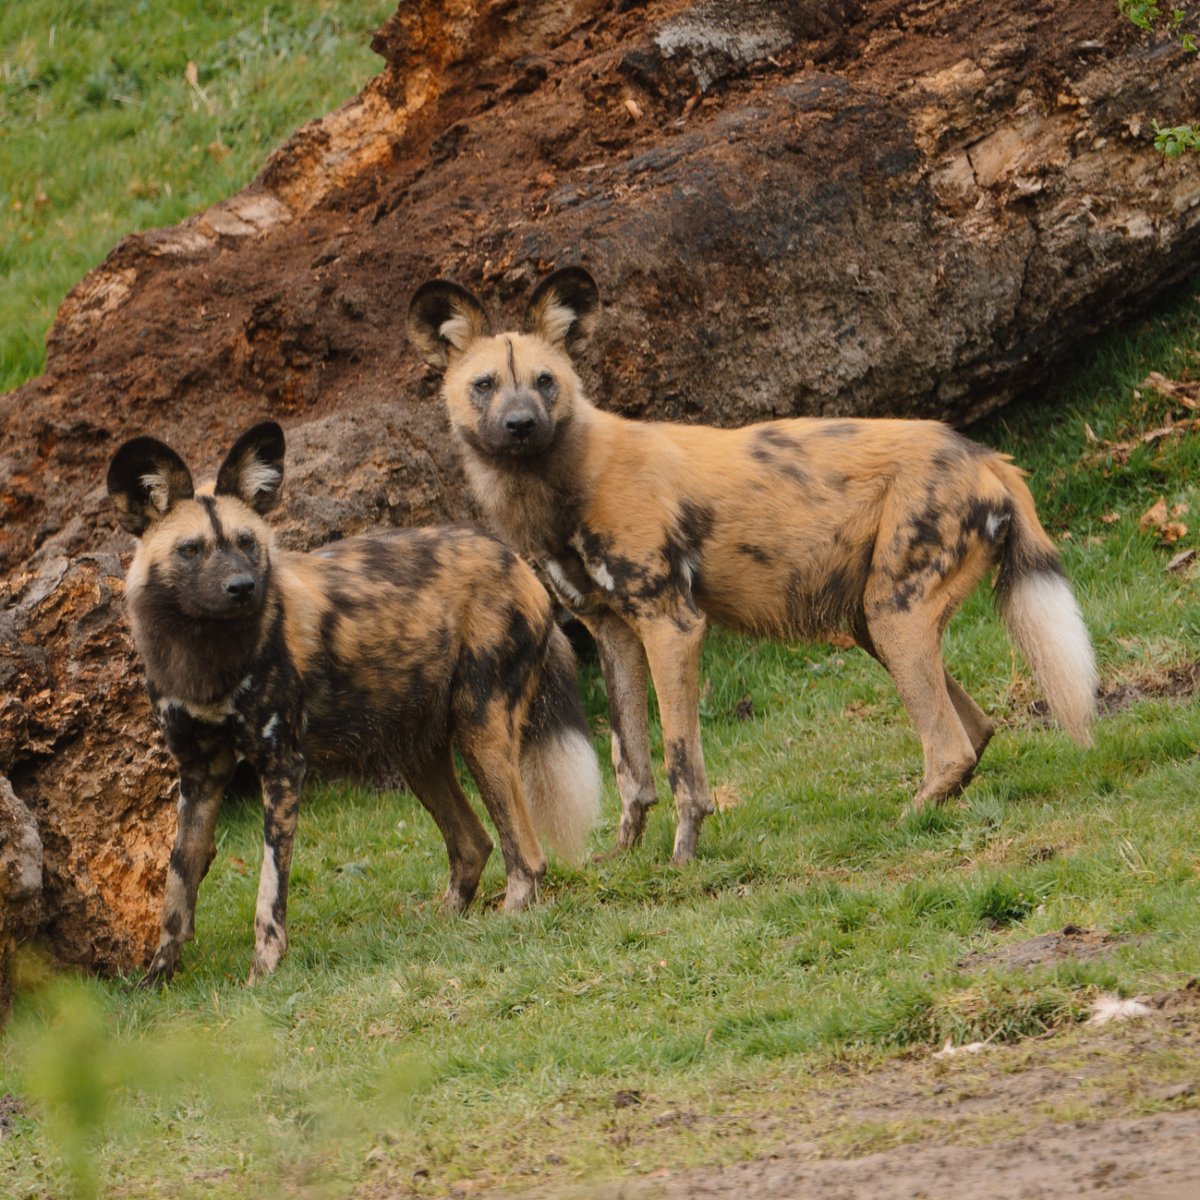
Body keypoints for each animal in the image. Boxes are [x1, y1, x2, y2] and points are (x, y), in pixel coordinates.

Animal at [106, 422, 600, 984]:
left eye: (247, 543)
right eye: (191, 550)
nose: (242, 587)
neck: (205, 657)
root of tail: (519, 563)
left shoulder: (282, 766)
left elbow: (269, 890)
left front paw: (263, 972)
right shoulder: (199, 774)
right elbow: (177, 888)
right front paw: (157, 980)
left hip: (481, 730)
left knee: (525, 853)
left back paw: (508, 917)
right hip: (416, 752)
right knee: (473, 843)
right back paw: (440, 924)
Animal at [410, 266, 1099, 864]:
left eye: (545, 380)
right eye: (484, 386)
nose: (520, 424)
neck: (562, 484)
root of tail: (983, 454)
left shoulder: (672, 626)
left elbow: (679, 760)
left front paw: (684, 857)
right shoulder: (614, 636)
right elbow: (630, 764)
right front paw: (625, 855)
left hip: (892, 614)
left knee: (950, 744)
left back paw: (905, 821)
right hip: (873, 623)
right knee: (975, 731)